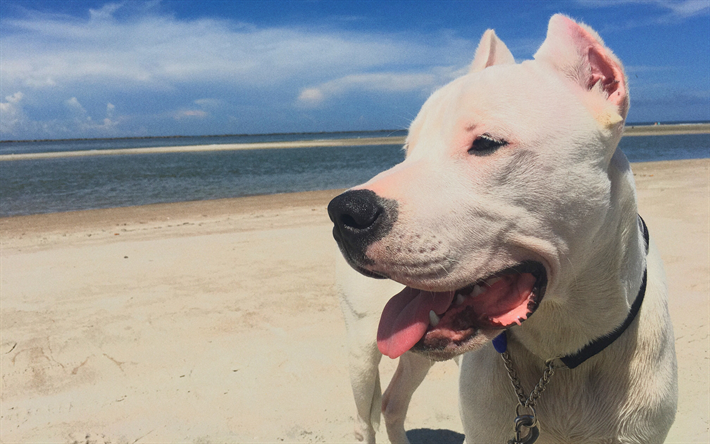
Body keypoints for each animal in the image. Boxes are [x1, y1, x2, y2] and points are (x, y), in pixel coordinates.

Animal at [330, 14, 680, 444]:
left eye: (485, 143)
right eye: (408, 151)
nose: (345, 213)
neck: (561, 348)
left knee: (393, 402)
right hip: (362, 348)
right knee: (365, 419)